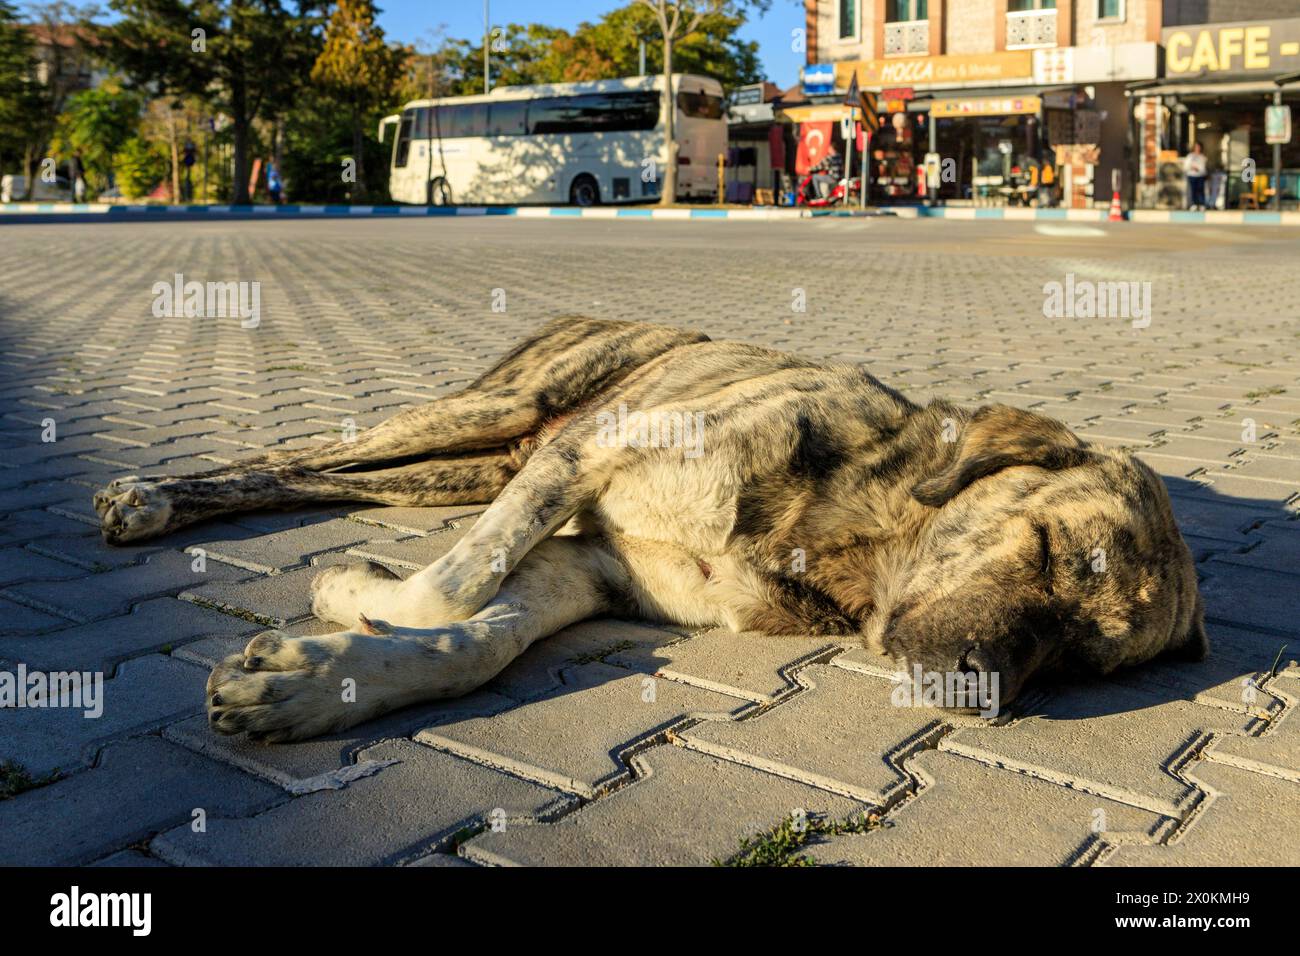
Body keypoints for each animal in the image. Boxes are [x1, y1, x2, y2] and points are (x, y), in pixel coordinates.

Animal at [94, 317, 1206, 743]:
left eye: (1084, 656)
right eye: (1048, 552)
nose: (981, 697)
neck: (854, 531)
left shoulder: (591, 567)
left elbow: (476, 638)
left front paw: (322, 675)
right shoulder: (584, 461)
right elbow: (453, 583)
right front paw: (351, 603)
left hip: (476, 463)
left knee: (327, 481)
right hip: (505, 411)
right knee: (299, 452)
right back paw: (151, 495)